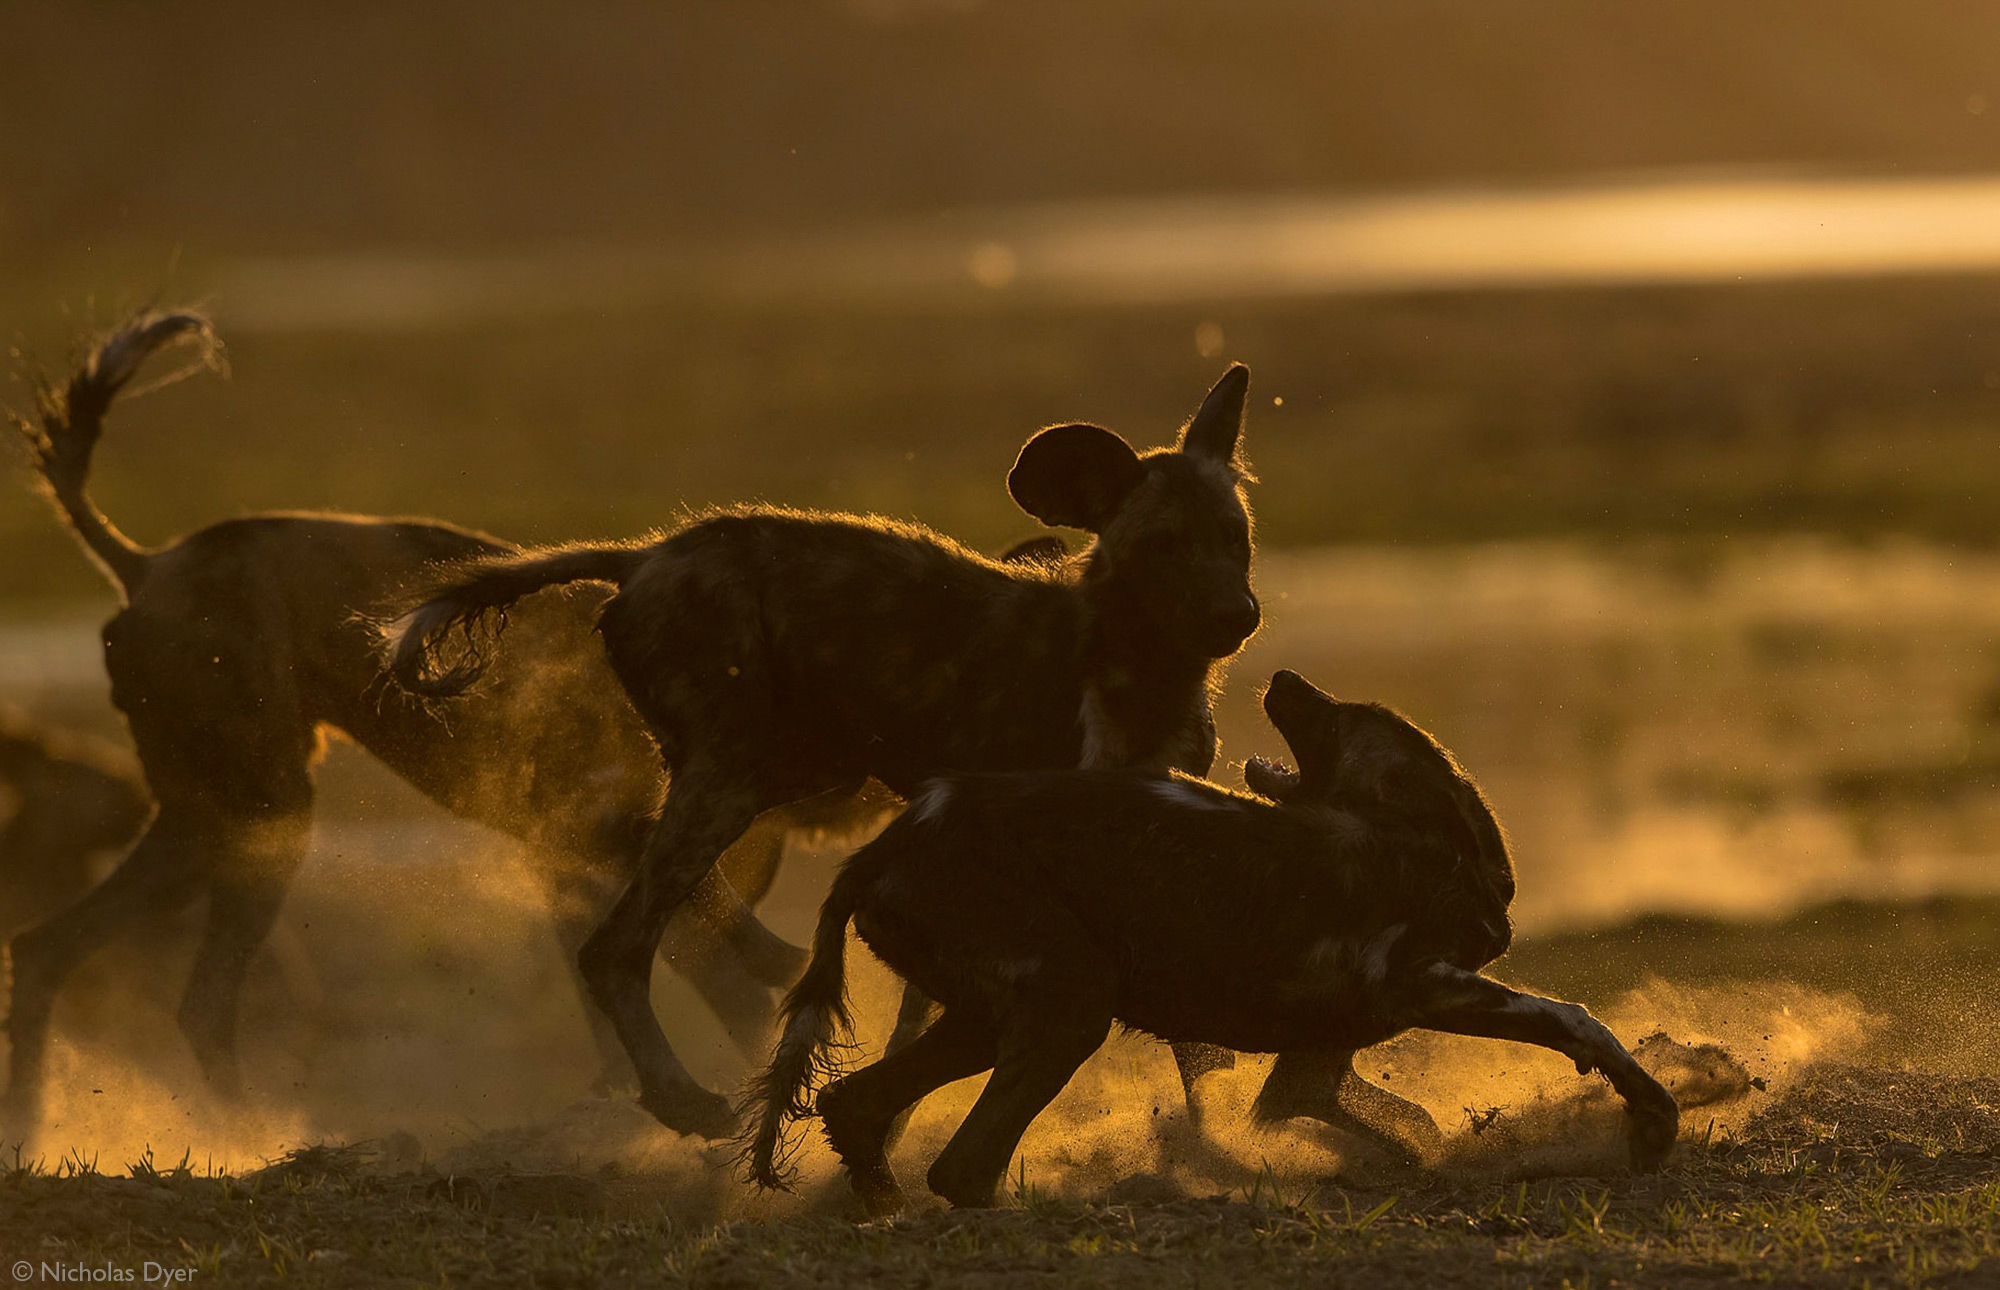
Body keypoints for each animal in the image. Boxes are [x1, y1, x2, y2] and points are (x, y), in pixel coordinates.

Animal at [0, 306, 896, 1136]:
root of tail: (143, 564)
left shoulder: (568, 866)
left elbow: (624, 1007)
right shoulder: (609, 846)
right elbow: (726, 987)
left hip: (208, 824)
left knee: (51, 951)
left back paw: (46, 1128)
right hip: (266, 818)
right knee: (199, 1000)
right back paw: (252, 1139)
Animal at [390, 362, 1272, 1136]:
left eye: (1235, 538)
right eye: (1165, 546)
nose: (1238, 615)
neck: (1136, 665)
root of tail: (643, 554)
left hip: (795, 766)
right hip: (733, 776)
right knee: (615, 948)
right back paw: (685, 1101)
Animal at [744, 668, 1680, 1216]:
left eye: (1345, 715)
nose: (1283, 673)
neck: (1431, 841)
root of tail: (889, 842)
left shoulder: (1318, 1062)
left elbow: (1395, 1124)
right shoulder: (1427, 983)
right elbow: (1576, 1019)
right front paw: (1653, 1119)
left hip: (987, 1019)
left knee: (856, 1107)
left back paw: (880, 1205)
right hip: (1072, 1005)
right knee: (964, 1167)